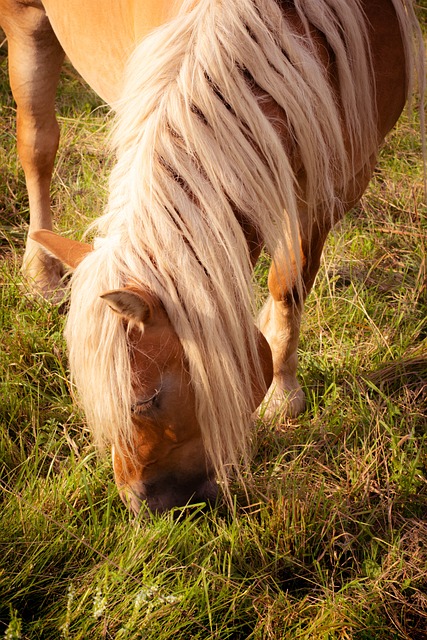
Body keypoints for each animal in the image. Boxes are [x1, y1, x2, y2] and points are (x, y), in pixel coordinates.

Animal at [0, 0, 424, 510]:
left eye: (145, 401)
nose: (141, 504)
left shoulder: (335, 181)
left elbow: (289, 282)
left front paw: (281, 392)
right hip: (25, 22)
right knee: (38, 145)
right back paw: (41, 272)